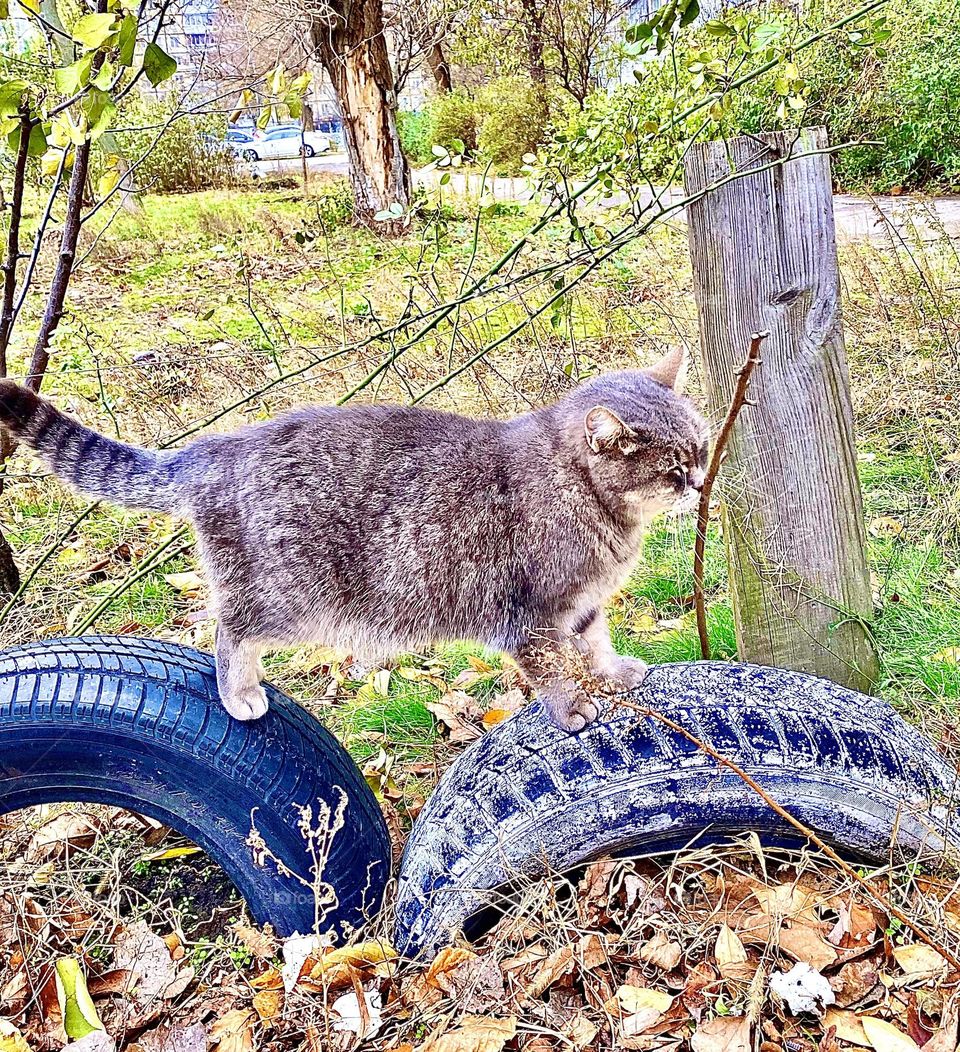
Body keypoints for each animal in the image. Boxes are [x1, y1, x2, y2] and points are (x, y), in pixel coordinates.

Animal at [0, 345, 702, 732]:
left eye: (697, 446)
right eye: (672, 467)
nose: (700, 481)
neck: (594, 503)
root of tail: (216, 447)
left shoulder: (582, 606)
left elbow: (596, 642)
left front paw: (615, 670)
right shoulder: (528, 616)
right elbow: (553, 667)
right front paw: (572, 706)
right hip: (289, 598)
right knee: (228, 630)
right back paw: (239, 692)